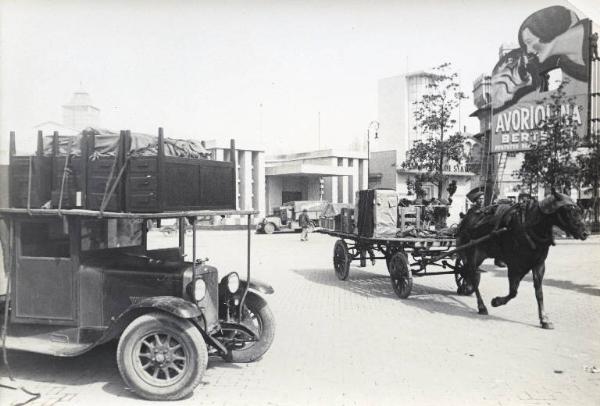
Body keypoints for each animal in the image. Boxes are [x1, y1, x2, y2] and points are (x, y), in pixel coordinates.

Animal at [458, 191, 588, 330]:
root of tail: (467, 217)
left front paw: (544, 319)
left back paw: (465, 287)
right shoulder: (514, 265)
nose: (585, 233)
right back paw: (481, 305)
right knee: (471, 274)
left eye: (580, 210)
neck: (529, 226)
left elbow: (538, 292)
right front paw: (496, 301)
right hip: (474, 253)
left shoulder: (538, 264)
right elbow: (513, 291)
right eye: (568, 211)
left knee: (469, 272)